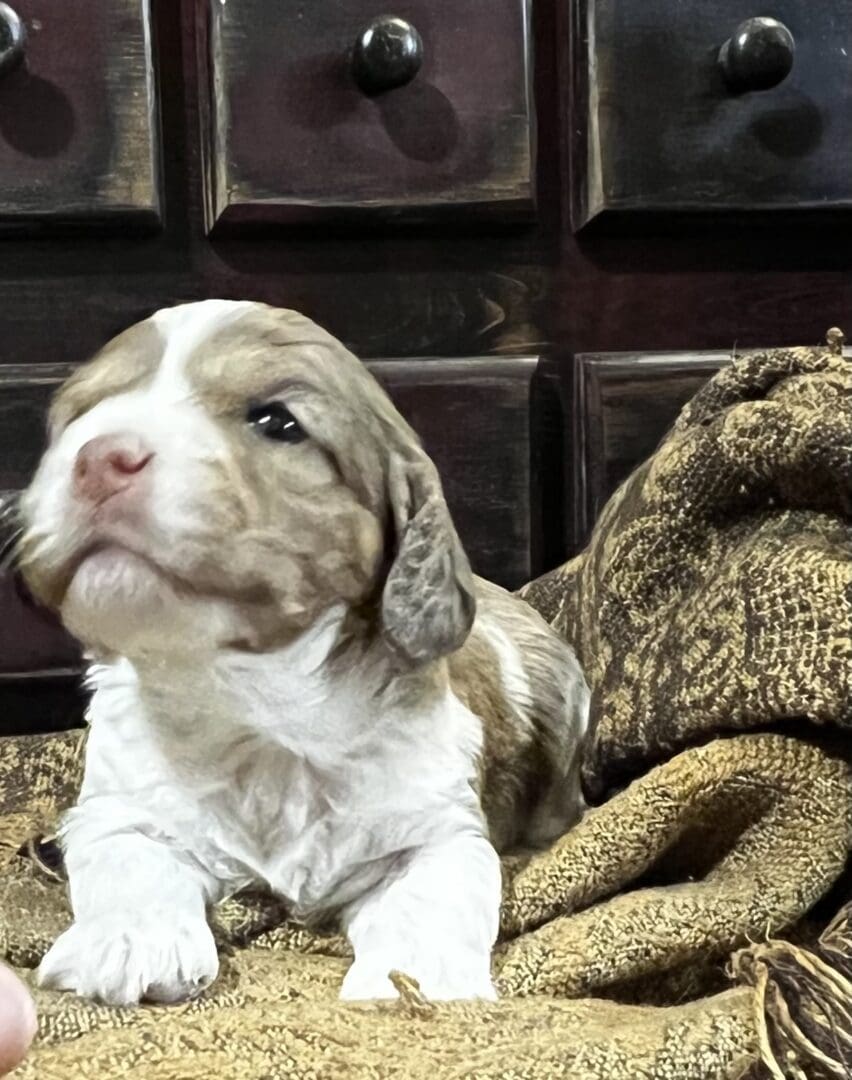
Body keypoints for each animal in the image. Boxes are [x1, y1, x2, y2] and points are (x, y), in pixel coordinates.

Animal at [21, 302, 591, 1002]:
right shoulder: (120, 807)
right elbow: (131, 858)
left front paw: (416, 978)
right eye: (81, 415)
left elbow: (432, 893)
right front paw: (130, 945)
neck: (259, 704)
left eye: (277, 421)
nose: (99, 456)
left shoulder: (438, 826)